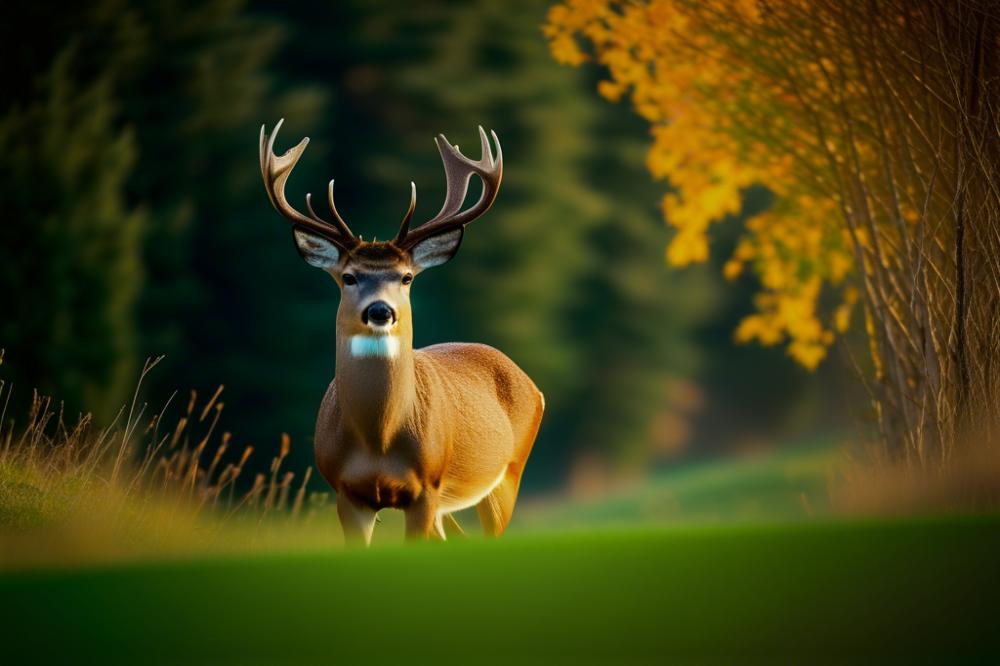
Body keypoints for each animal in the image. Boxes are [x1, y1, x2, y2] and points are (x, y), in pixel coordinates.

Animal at [259, 120, 543, 545]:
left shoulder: (426, 488)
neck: (379, 441)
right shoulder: (346, 492)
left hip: (508, 473)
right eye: (348, 276)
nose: (380, 311)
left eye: (406, 277)